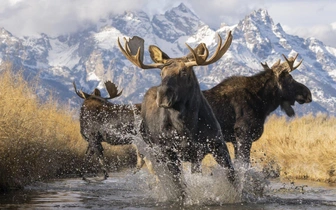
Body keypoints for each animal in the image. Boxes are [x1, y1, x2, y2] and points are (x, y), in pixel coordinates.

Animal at [118, 31, 236, 197]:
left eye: (184, 72)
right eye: (161, 72)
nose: (162, 95)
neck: (187, 125)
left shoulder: (214, 144)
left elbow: (232, 176)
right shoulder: (169, 153)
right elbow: (180, 187)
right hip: (152, 152)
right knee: (158, 175)